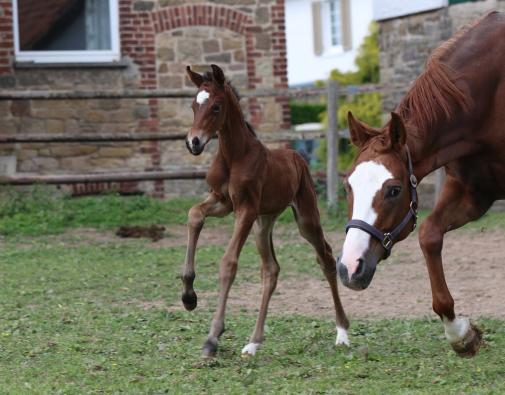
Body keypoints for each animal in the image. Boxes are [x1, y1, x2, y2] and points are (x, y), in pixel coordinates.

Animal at [181, 65, 350, 358]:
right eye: (194, 105)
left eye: (216, 106)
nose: (194, 142)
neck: (234, 155)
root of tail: (296, 156)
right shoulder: (222, 201)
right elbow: (194, 215)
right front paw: (189, 295)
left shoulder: (245, 210)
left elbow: (228, 263)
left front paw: (212, 337)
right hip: (264, 223)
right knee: (271, 270)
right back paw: (253, 342)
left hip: (305, 218)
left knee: (326, 259)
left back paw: (342, 332)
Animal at [336, 13, 504, 358]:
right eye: (348, 186)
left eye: (393, 190)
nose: (349, 267)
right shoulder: (473, 192)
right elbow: (428, 234)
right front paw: (460, 332)